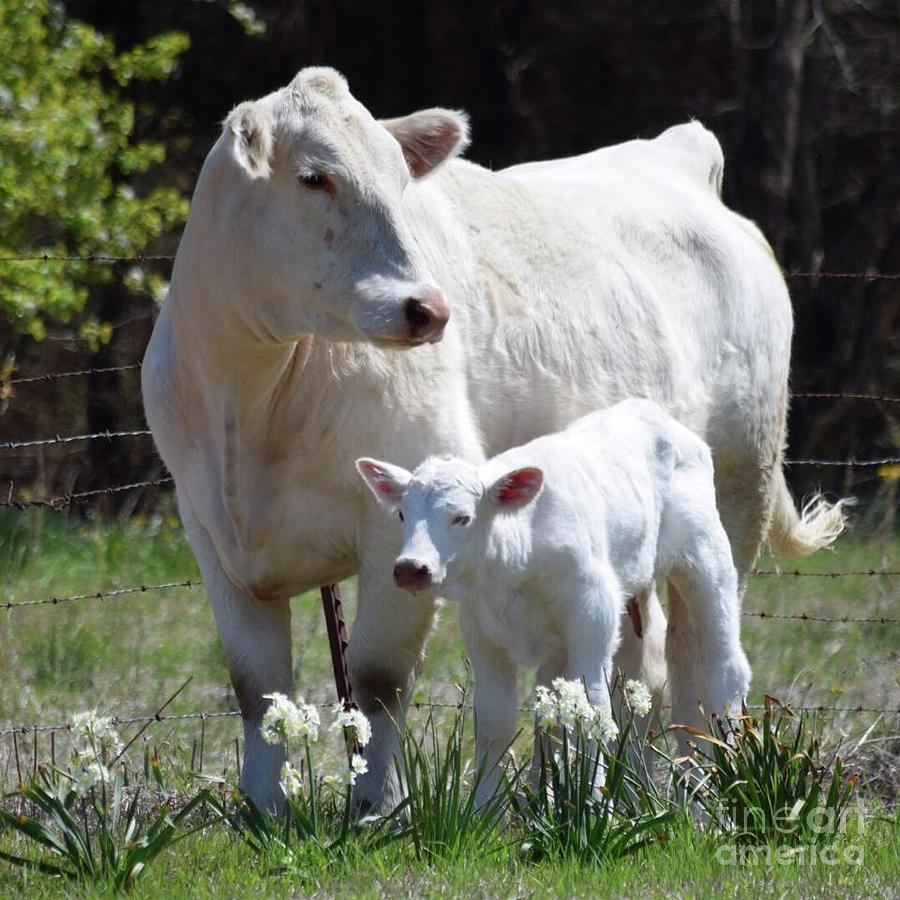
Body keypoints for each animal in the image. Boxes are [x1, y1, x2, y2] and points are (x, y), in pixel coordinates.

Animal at [356, 398, 752, 804]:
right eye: (402, 514)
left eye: (461, 518)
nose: (410, 568)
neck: (514, 559)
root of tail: (652, 412)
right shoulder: (482, 631)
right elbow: (496, 720)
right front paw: (483, 810)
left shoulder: (593, 611)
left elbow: (592, 708)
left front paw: (592, 804)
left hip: (707, 558)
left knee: (723, 670)